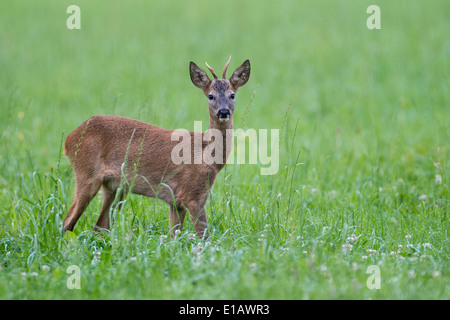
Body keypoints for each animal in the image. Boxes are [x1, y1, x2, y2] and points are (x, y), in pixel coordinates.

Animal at [62, 57, 250, 238]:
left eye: (232, 95)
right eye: (210, 96)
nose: (223, 112)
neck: (207, 156)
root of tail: (68, 139)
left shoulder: (176, 201)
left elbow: (174, 236)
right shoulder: (192, 194)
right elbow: (205, 237)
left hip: (113, 186)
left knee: (100, 227)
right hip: (86, 174)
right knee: (68, 222)